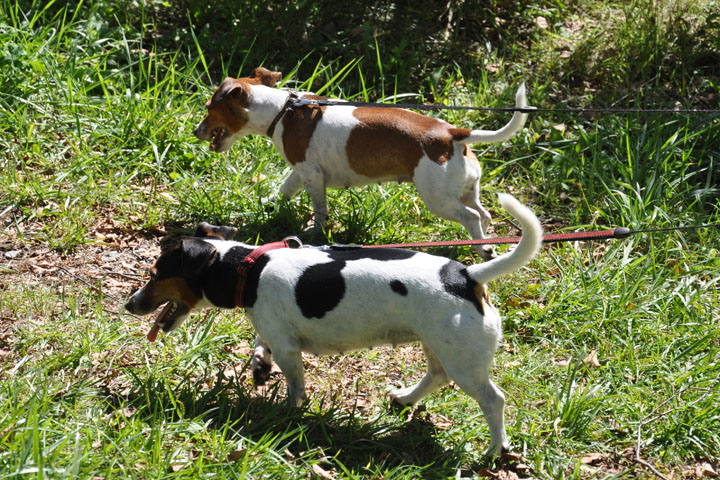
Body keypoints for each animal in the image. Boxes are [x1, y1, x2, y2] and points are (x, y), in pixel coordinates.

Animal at [125, 193, 542, 456]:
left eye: (155, 273)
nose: (129, 305)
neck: (248, 269)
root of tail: (467, 275)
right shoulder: (274, 330)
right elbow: (262, 343)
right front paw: (260, 365)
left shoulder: (289, 348)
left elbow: (295, 386)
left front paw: (289, 411)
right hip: (441, 346)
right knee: (437, 376)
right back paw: (405, 398)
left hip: (463, 361)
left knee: (493, 400)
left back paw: (495, 448)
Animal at [194, 67, 531, 260]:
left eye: (209, 108)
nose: (196, 131)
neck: (282, 110)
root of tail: (451, 134)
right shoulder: (301, 171)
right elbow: (285, 190)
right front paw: (268, 205)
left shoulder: (312, 176)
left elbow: (320, 210)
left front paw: (316, 233)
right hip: (465, 190)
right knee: (483, 214)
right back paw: (484, 241)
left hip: (437, 199)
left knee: (471, 218)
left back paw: (483, 248)